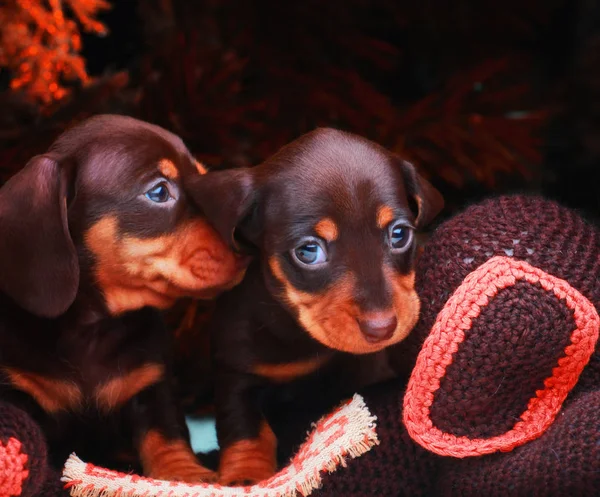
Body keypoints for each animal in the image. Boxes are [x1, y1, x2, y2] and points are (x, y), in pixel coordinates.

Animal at [0, 115, 248, 480]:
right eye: (159, 191)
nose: (246, 241)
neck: (91, 329)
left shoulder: (152, 387)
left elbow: (166, 436)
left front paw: (187, 474)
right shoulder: (18, 395)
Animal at [193, 128, 446, 484]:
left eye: (399, 233)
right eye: (308, 251)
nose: (382, 327)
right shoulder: (236, 369)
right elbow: (244, 426)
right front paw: (245, 476)